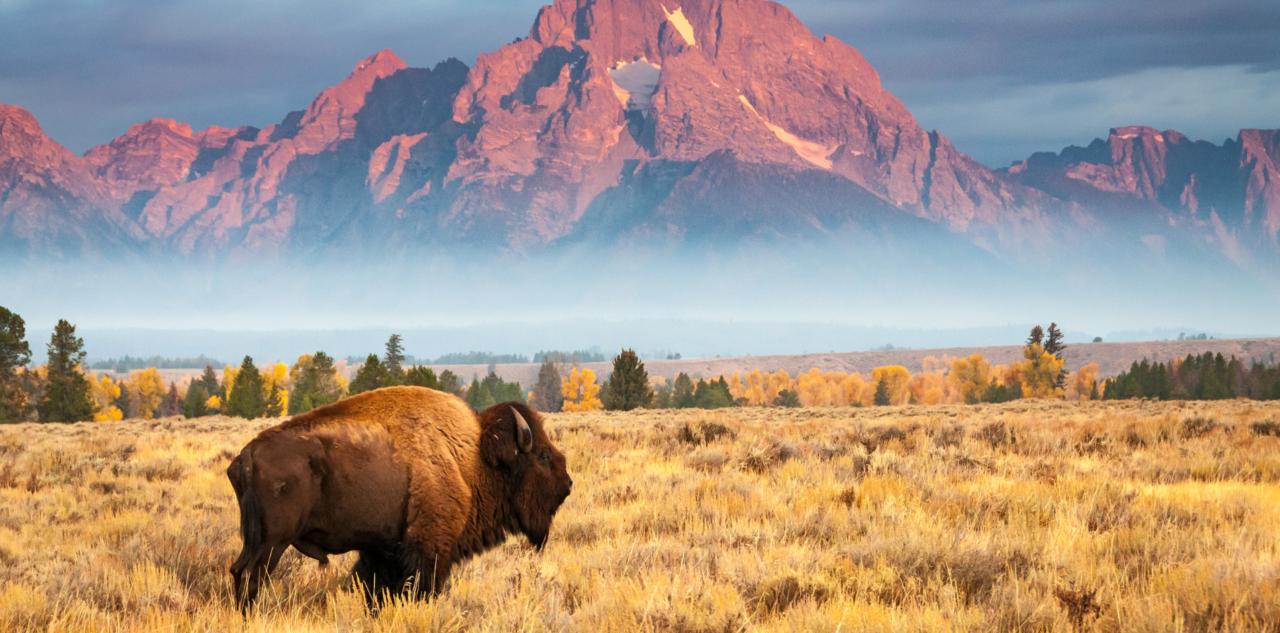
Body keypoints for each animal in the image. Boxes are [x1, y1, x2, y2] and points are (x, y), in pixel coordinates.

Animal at [226, 386, 576, 608]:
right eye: (543, 456)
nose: (568, 483)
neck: (473, 456)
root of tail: (246, 456)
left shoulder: (383, 550)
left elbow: (375, 589)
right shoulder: (430, 548)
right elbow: (422, 588)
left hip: (255, 541)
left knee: (238, 571)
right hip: (272, 543)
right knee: (251, 577)